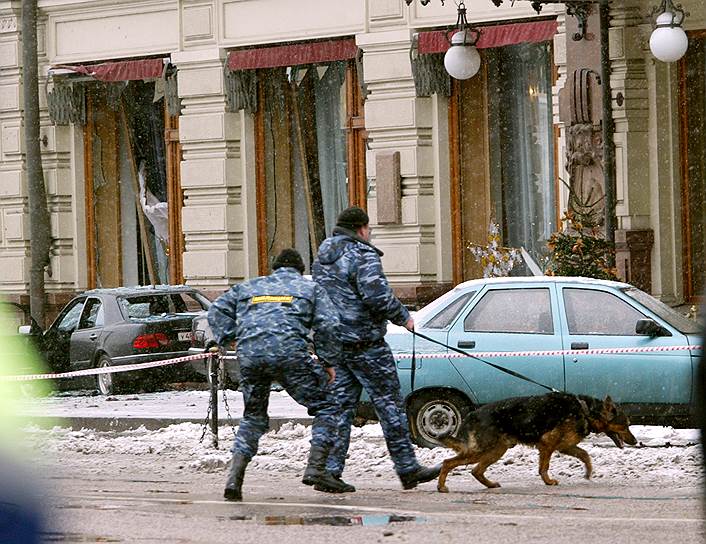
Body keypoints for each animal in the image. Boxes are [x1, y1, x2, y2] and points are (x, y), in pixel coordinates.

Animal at [438, 392, 636, 492]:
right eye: (626, 425)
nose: (635, 442)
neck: (586, 411)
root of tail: (472, 414)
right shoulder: (548, 444)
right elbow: (544, 466)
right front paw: (548, 481)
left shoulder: (565, 446)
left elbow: (585, 455)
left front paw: (588, 472)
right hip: (483, 450)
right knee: (448, 462)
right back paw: (441, 486)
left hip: (496, 451)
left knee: (476, 470)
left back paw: (491, 485)